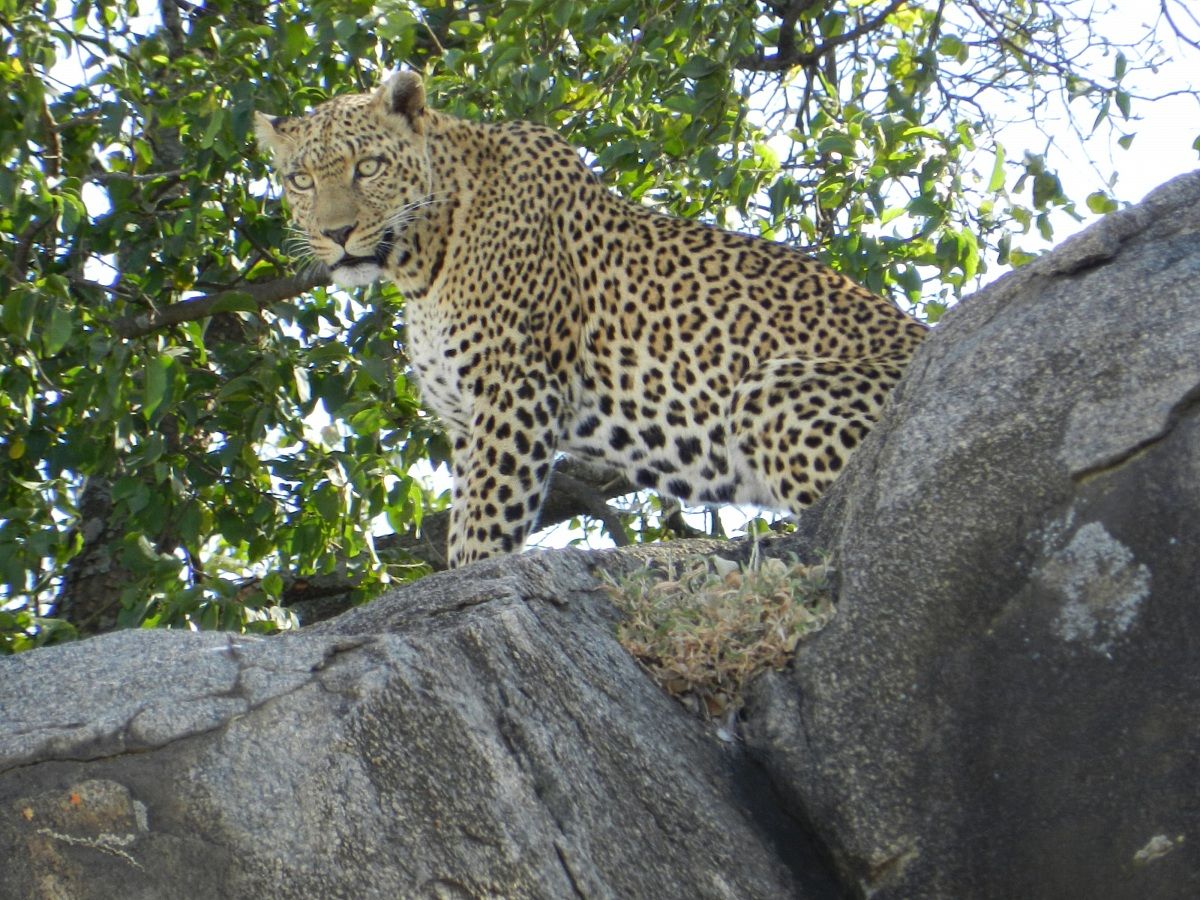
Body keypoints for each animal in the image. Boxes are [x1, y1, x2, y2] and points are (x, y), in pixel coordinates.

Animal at [255, 72, 928, 568]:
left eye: (368, 166)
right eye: (300, 180)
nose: (337, 234)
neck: (420, 263)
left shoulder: (515, 391)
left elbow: (485, 529)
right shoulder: (467, 422)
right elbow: (466, 520)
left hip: (775, 388)